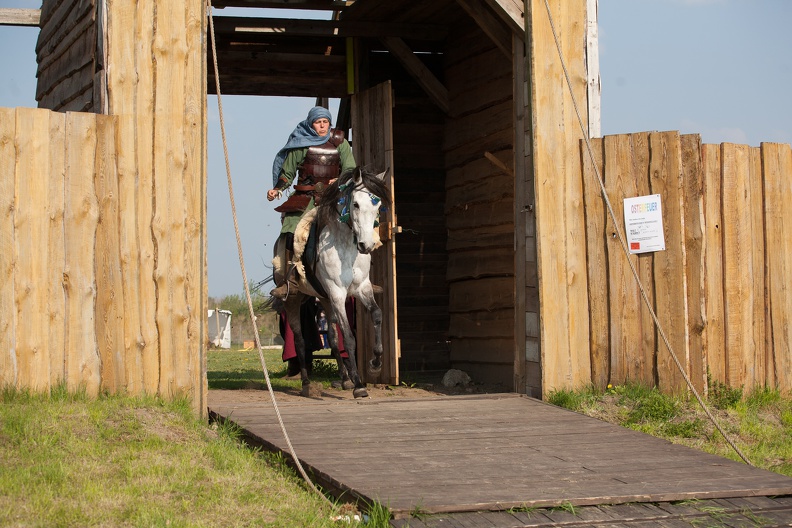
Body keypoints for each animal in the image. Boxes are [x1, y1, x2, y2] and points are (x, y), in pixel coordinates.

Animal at [272, 167, 392, 398]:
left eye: (377, 205)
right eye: (356, 204)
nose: (366, 245)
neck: (345, 245)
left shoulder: (361, 288)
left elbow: (377, 315)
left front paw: (375, 363)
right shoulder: (337, 292)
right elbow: (349, 336)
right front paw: (359, 385)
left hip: (325, 299)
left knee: (333, 338)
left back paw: (344, 379)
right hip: (293, 299)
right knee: (299, 339)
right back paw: (306, 383)